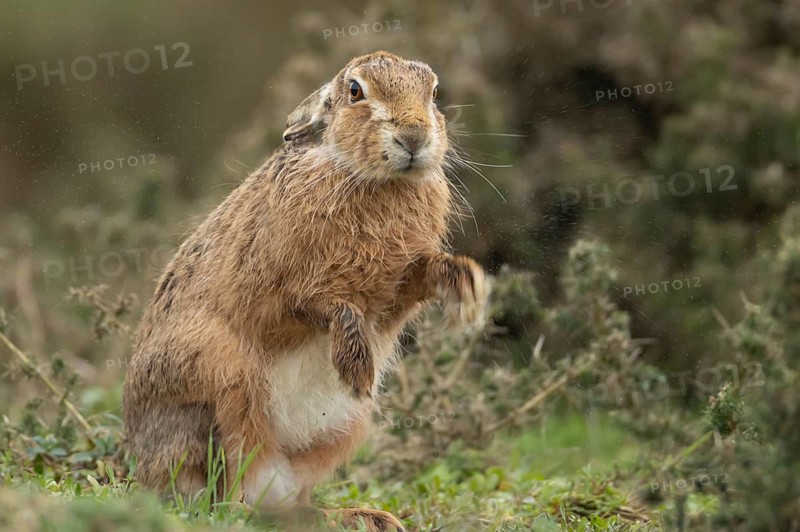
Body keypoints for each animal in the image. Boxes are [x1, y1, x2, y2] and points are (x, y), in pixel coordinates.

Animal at [123, 50, 487, 531]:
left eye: (434, 92)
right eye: (355, 91)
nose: (413, 137)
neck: (365, 176)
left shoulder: (393, 295)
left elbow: (419, 278)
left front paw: (469, 288)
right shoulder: (287, 291)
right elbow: (332, 308)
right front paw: (356, 368)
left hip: (341, 430)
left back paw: (356, 516)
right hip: (222, 388)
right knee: (224, 489)